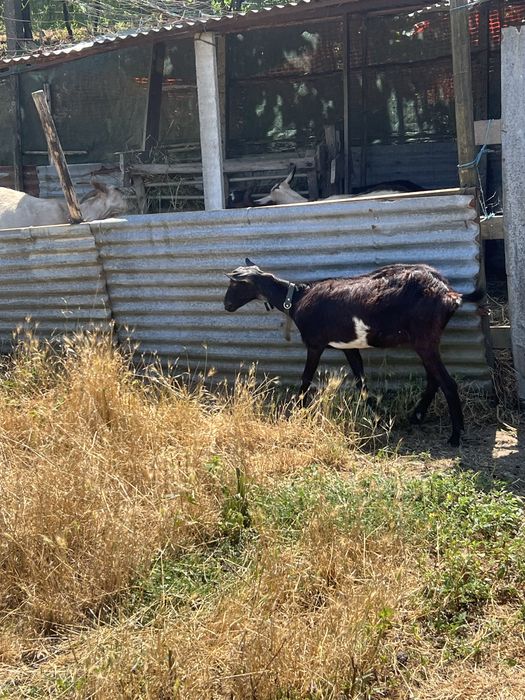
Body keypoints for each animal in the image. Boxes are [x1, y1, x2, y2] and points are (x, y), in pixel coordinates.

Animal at [224, 259, 484, 446]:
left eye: (235, 284)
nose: (226, 306)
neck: (296, 299)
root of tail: (449, 293)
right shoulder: (349, 347)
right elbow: (361, 379)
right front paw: (375, 414)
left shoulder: (315, 344)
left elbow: (306, 378)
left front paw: (298, 410)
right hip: (426, 342)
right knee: (433, 379)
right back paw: (417, 416)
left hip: (425, 340)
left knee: (447, 383)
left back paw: (455, 437)